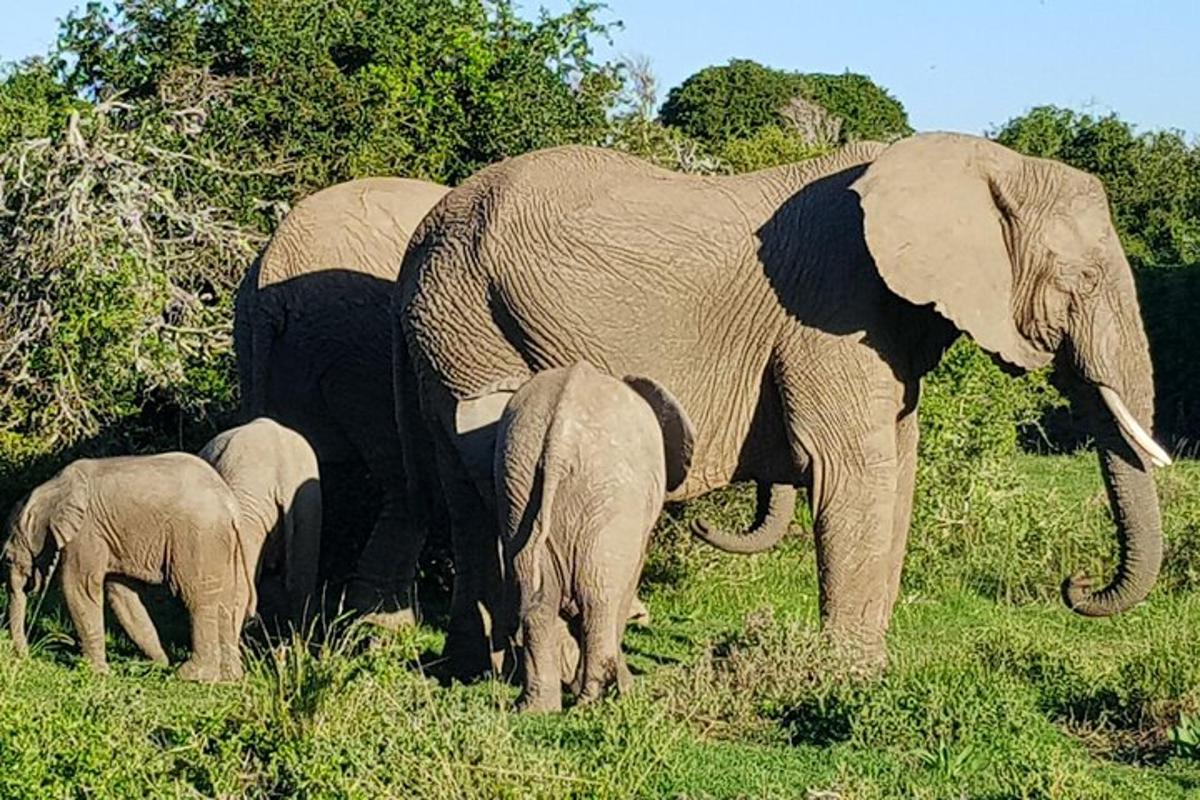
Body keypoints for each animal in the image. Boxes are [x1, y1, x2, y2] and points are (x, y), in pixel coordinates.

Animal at [4, 453, 253, 681]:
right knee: (225, 601)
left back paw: (191, 675)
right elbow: (120, 594)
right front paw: (158, 663)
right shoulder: (110, 535)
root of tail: (229, 505)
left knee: (197, 597)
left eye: (7, 559)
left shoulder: (86, 531)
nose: (25, 656)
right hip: (222, 544)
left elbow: (79, 587)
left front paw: (98, 674)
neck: (50, 490)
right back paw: (229, 678)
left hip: (198, 538)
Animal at [396, 133, 1171, 676]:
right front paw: (852, 682)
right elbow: (855, 472)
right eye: (1083, 279)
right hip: (470, 321)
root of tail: (422, 234)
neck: (981, 161)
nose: (1075, 584)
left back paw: (472, 668)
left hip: (447, 331)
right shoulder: (833, 308)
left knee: (463, 495)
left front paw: (871, 671)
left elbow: (901, 473)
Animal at [492, 362, 696, 714]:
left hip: (518, 484)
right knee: (598, 597)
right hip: (607, 496)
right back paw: (595, 700)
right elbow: (626, 584)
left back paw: (538, 708)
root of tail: (558, 442)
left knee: (538, 598)